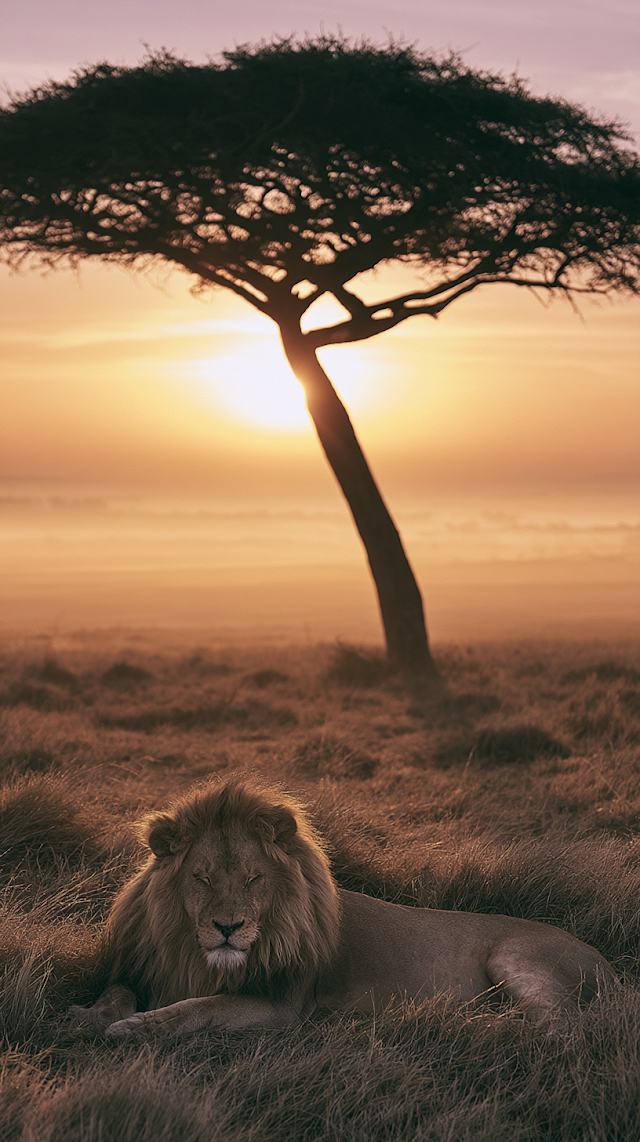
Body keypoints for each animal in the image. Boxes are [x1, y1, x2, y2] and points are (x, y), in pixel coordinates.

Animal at [70, 779, 614, 1038]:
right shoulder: (142, 968)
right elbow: (117, 991)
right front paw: (89, 1017)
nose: (228, 927)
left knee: (563, 1028)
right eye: (201, 879)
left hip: (516, 958)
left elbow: (200, 1008)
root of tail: (606, 961)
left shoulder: (282, 1004)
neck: (192, 953)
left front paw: (137, 1028)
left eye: (253, 879)